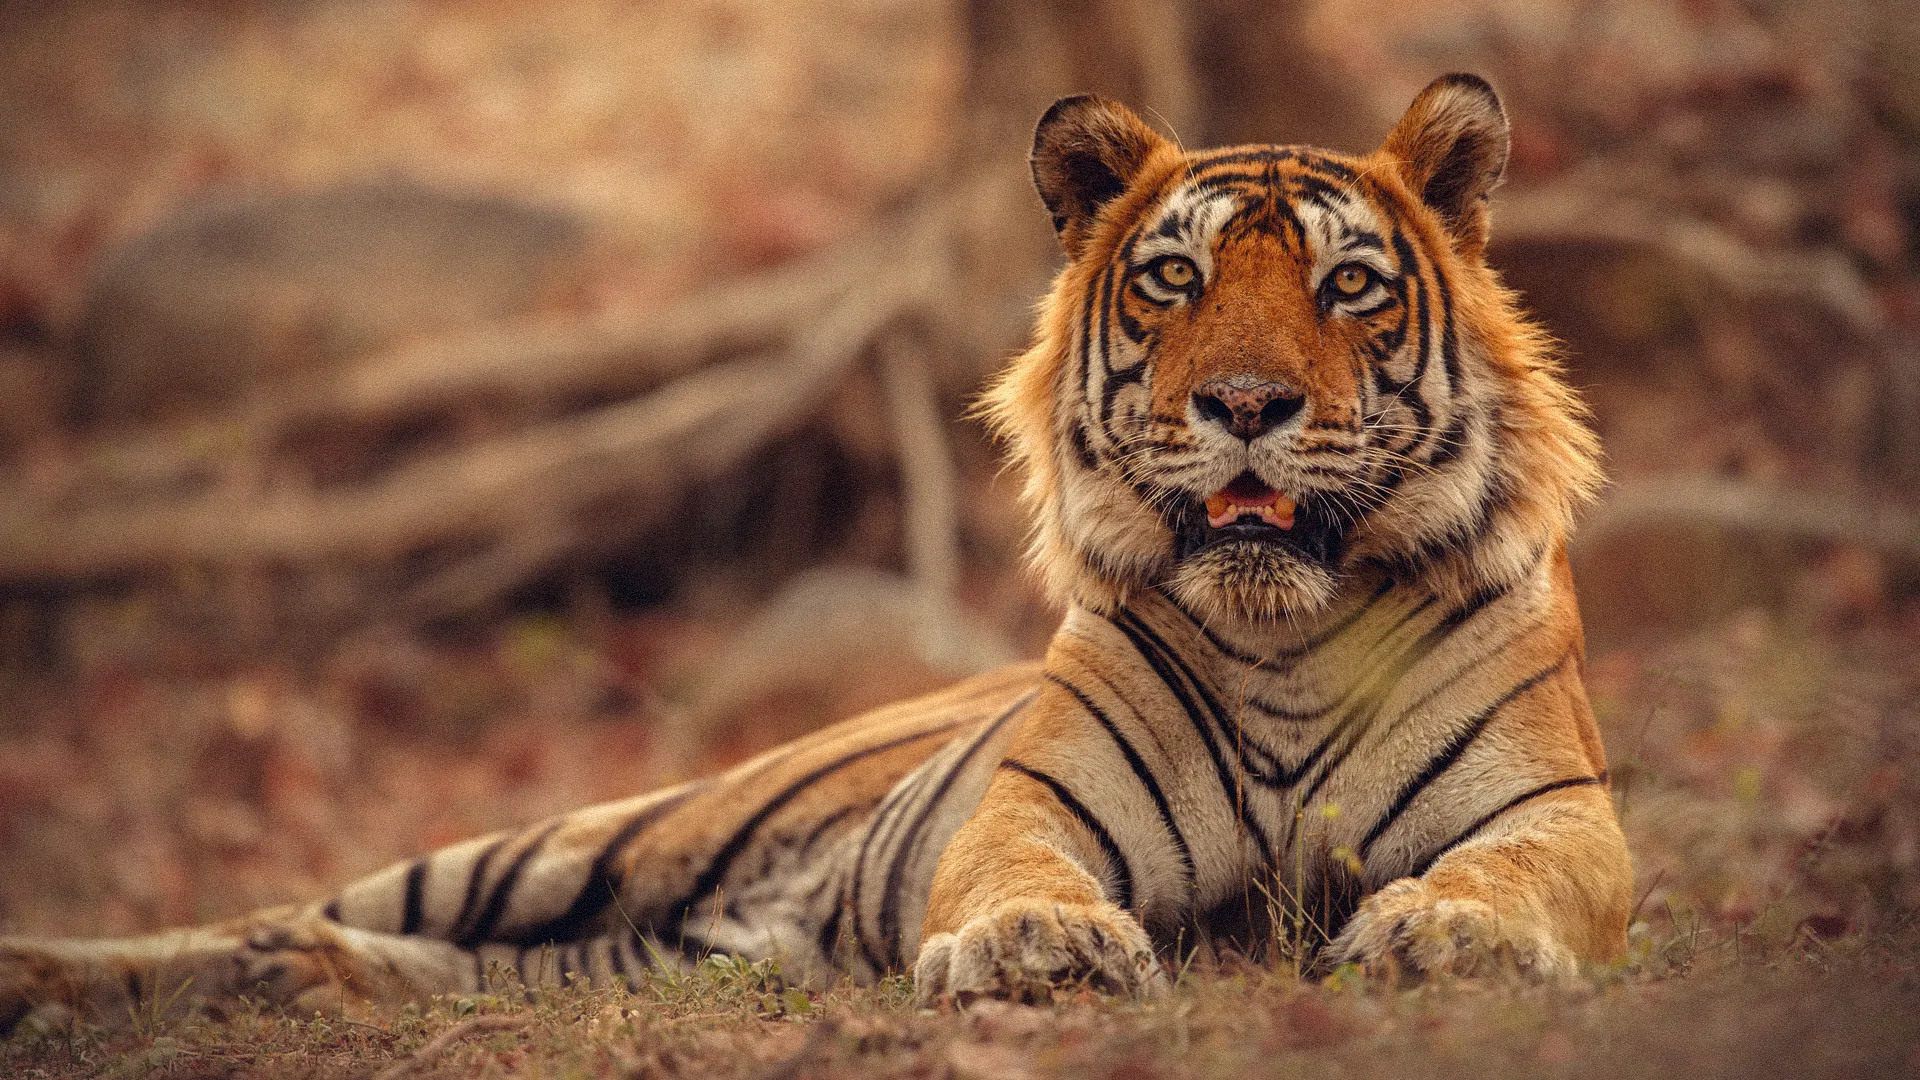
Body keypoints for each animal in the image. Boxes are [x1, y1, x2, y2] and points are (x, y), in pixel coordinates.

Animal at [0, 73, 1630, 1029]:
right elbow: (1019, 871)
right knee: (291, 906)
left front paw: (1451, 938)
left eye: (1350, 287)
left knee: (459, 965)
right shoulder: (1028, 807)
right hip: (589, 839)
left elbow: (1514, 874)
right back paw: (99, 979)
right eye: (1174, 279)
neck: (1283, 634)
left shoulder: (1560, 817)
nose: (1243, 404)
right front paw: (1038, 947)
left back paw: (305, 984)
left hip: (649, 937)